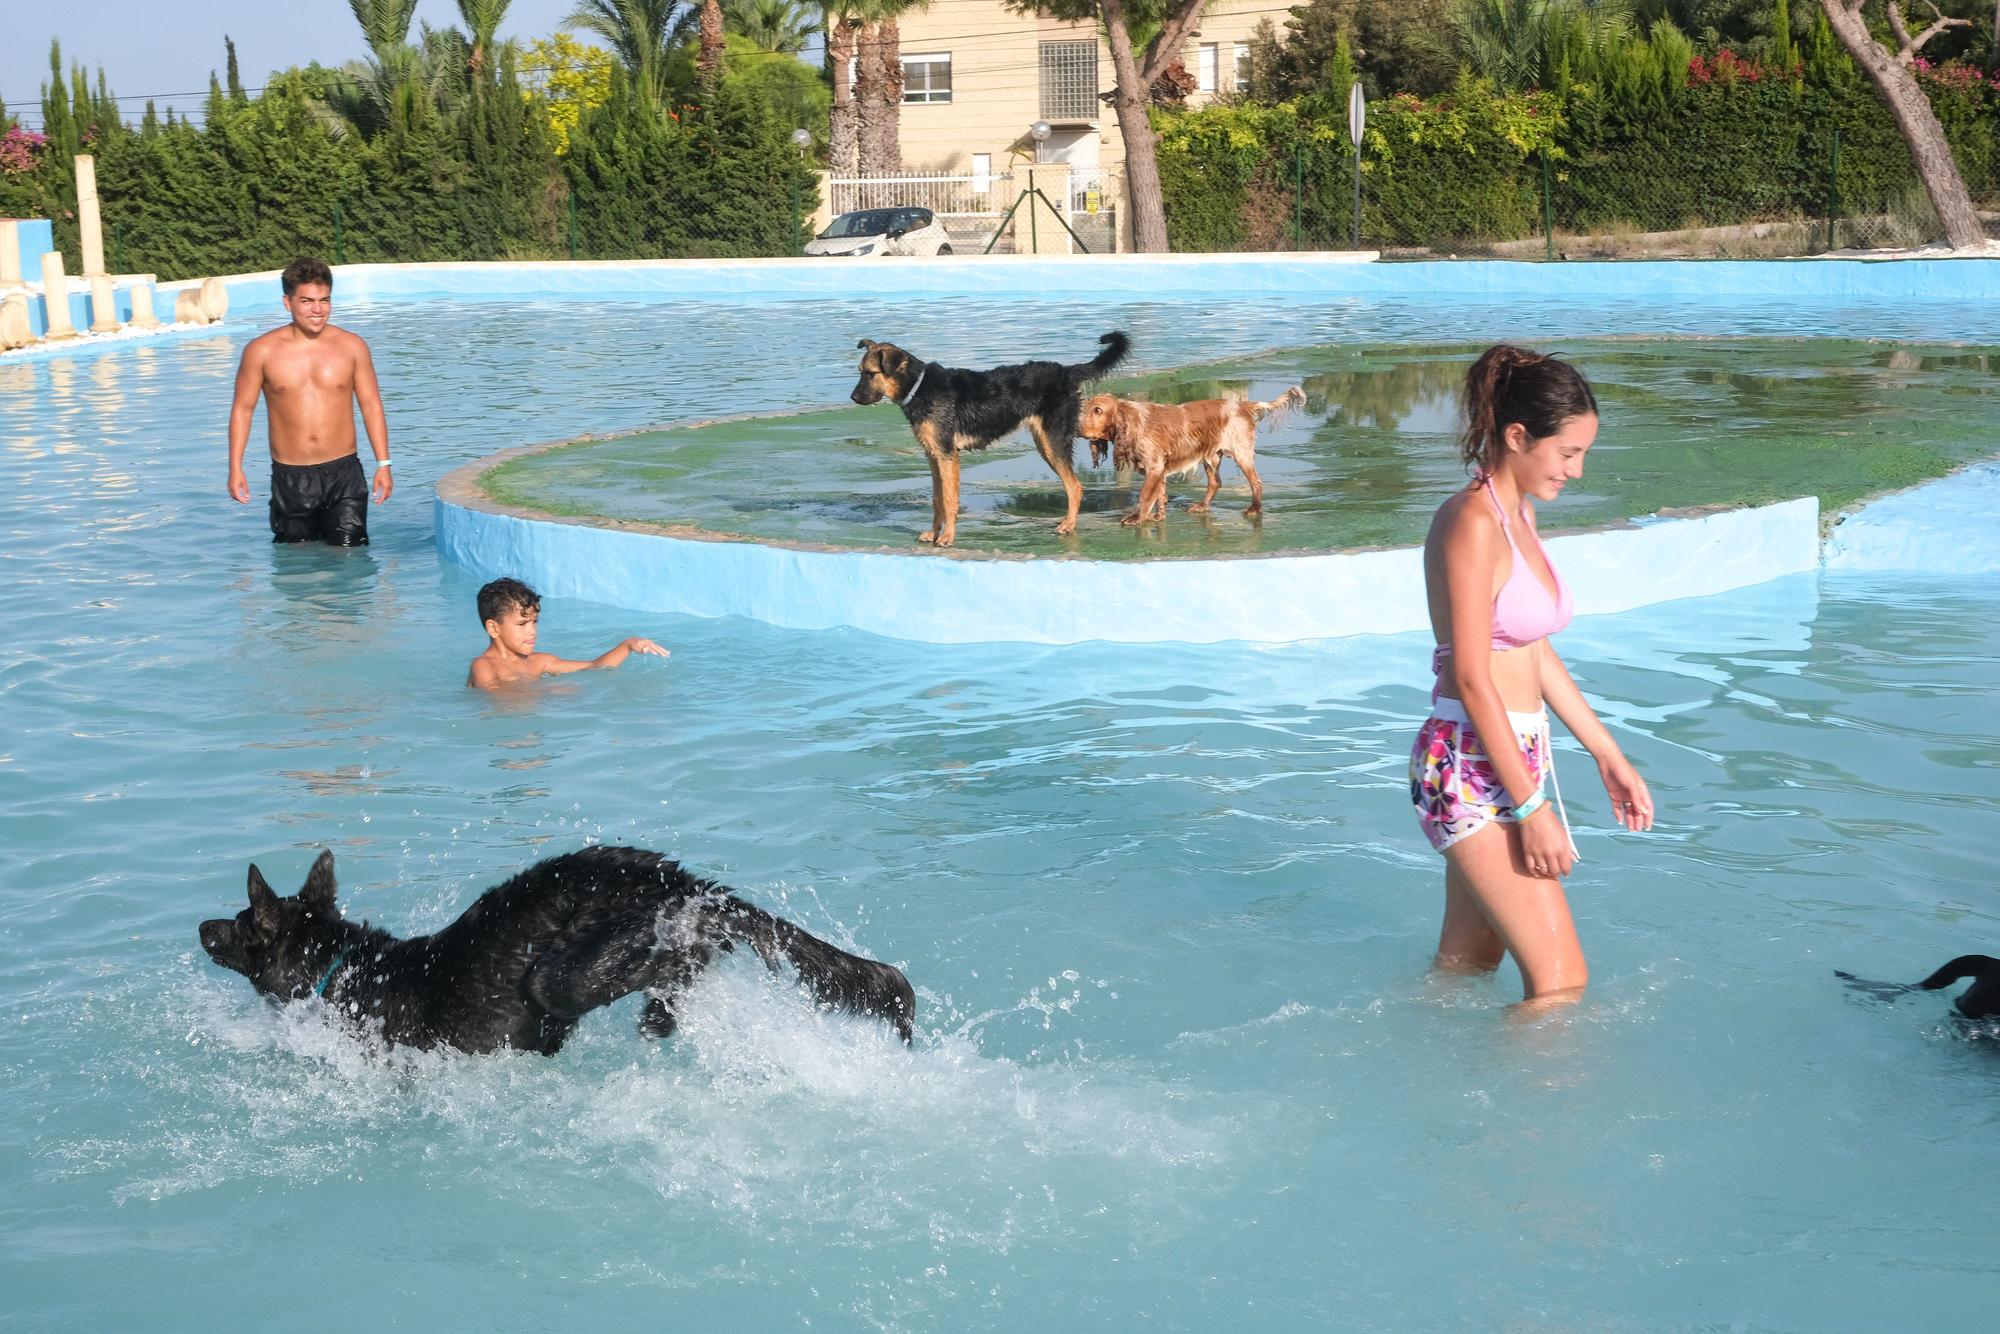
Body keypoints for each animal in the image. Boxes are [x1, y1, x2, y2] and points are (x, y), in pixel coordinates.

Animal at [844, 332, 1128, 544]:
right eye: (860, 371)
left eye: (871, 373)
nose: (853, 398)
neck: (919, 387)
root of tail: (1067, 372)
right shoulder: (933, 455)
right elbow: (937, 500)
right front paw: (934, 534)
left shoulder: (948, 455)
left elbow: (949, 500)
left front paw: (947, 538)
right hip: (1044, 443)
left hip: (1052, 442)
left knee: (1075, 486)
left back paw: (1068, 525)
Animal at [1088, 386, 1304, 520]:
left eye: (1098, 410)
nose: (1080, 428)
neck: (1133, 421)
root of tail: (1245, 405)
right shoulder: (1159, 469)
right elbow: (1159, 495)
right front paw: (1158, 517)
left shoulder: (1154, 467)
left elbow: (1145, 495)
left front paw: (1136, 518)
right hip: (1211, 457)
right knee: (1215, 483)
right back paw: (1202, 506)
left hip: (1240, 452)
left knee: (1256, 482)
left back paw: (1254, 509)